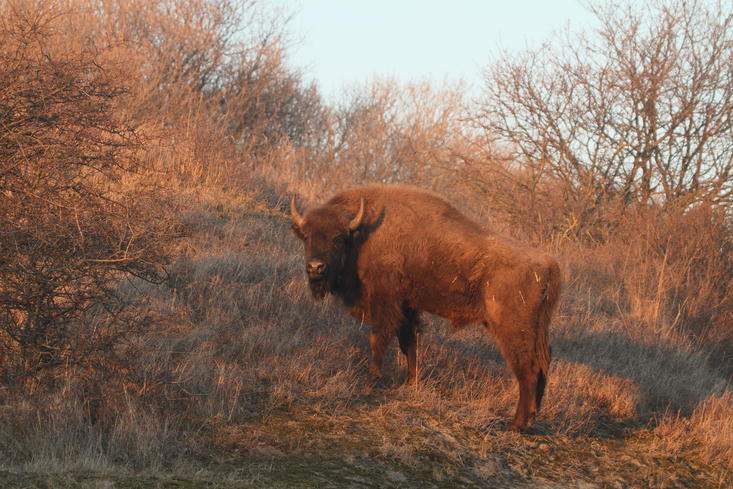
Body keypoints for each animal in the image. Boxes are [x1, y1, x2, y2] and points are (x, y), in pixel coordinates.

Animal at [290, 184, 561, 431]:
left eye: (338, 238)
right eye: (307, 236)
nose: (316, 267)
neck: (363, 234)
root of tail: (548, 265)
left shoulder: (386, 303)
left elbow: (379, 340)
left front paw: (371, 382)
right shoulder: (407, 307)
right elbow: (409, 343)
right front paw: (410, 383)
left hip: (512, 328)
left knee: (527, 369)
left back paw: (516, 424)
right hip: (538, 329)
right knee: (542, 365)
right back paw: (531, 418)